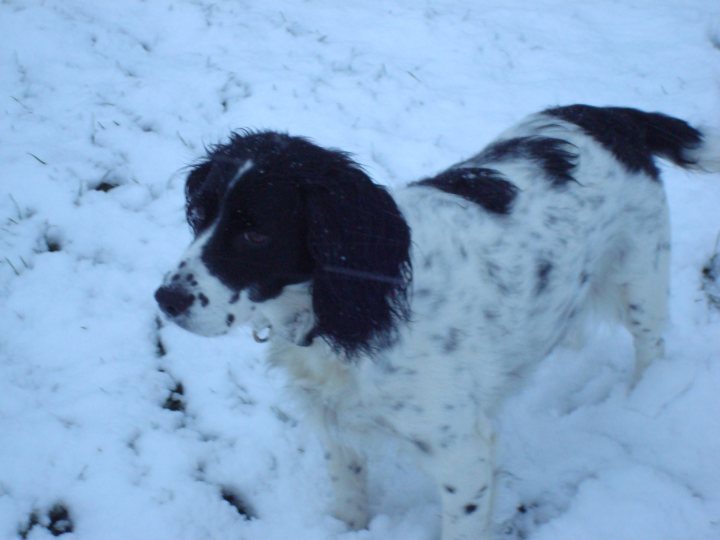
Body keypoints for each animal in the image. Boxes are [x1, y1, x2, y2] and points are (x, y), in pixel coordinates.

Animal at [155, 106, 716, 540]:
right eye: (199, 214)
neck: (349, 305)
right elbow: (349, 491)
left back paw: (640, 399)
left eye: (256, 235)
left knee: (651, 347)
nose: (166, 298)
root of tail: (609, 116)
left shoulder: (463, 457)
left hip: (640, 278)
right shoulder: (337, 423)